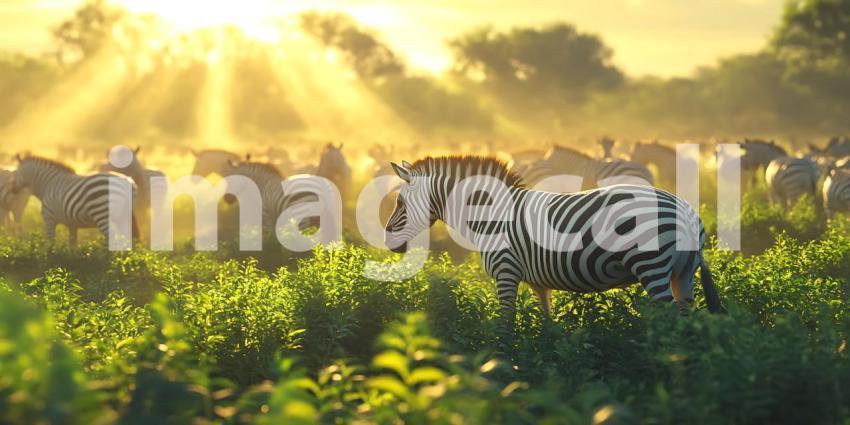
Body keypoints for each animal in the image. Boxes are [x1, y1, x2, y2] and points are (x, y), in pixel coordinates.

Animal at [9, 155, 137, 247]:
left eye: (16, 172)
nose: (13, 190)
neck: (47, 184)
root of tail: (126, 181)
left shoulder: (49, 218)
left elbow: (51, 243)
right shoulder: (72, 224)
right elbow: (72, 245)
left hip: (101, 214)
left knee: (113, 238)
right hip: (123, 216)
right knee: (127, 238)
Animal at [384, 156, 721, 345]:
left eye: (399, 202)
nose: (389, 243)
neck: (492, 215)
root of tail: (687, 211)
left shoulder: (506, 272)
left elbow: (505, 324)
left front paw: (502, 366)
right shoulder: (537, 282)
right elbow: (547, 325)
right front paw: (546, 364)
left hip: (652, 266)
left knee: (671, 323)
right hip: (682, 274)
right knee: (688, 321)